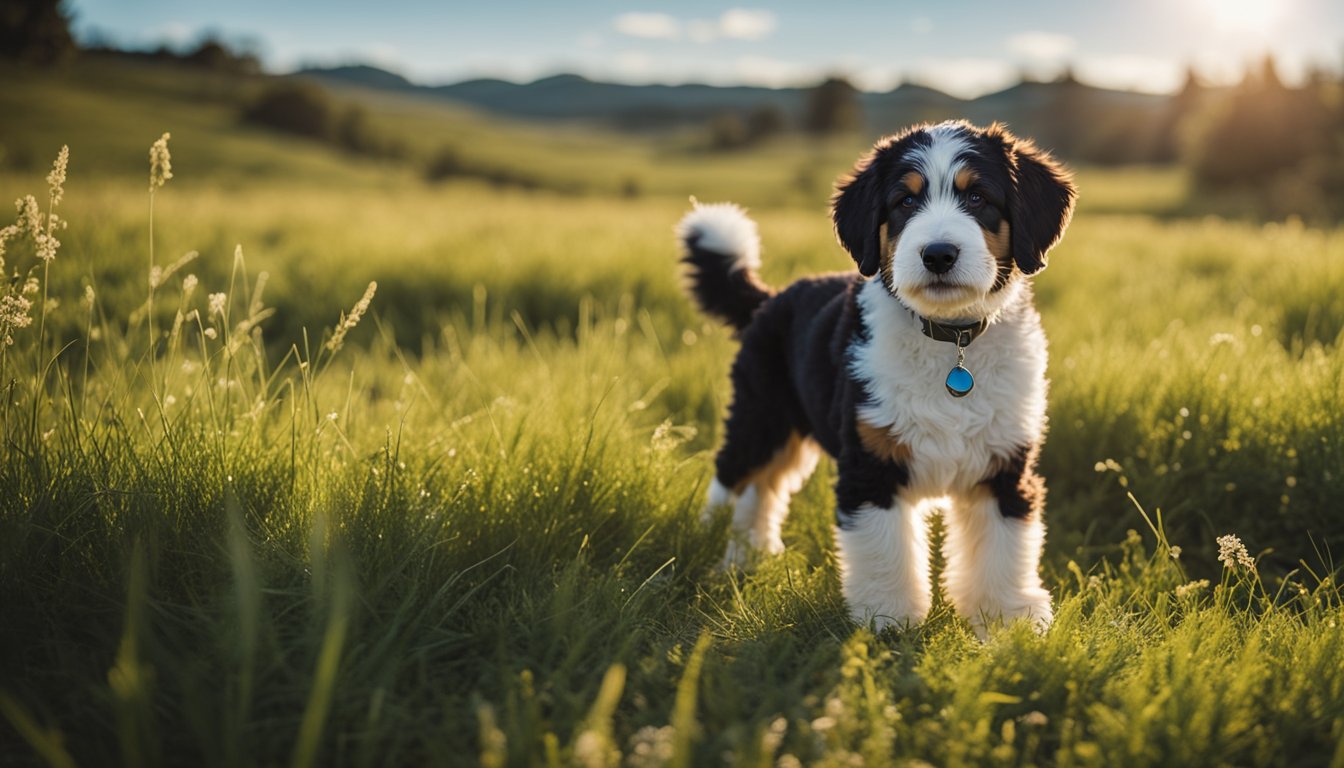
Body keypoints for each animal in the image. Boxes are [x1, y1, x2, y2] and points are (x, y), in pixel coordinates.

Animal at [677, 120, 1075, 637]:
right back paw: (712, 548)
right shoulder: (871, 465)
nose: (939, 254)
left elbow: (1004, 550)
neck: (951, 344)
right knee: (733, 478)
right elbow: (885, 550)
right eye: (904, 201)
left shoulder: (1004, 466)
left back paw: (753, 555)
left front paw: (1009, 621)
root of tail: (772, 298)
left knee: (764, 490)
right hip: (760, 415)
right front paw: (889, 621)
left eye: (979, 197)